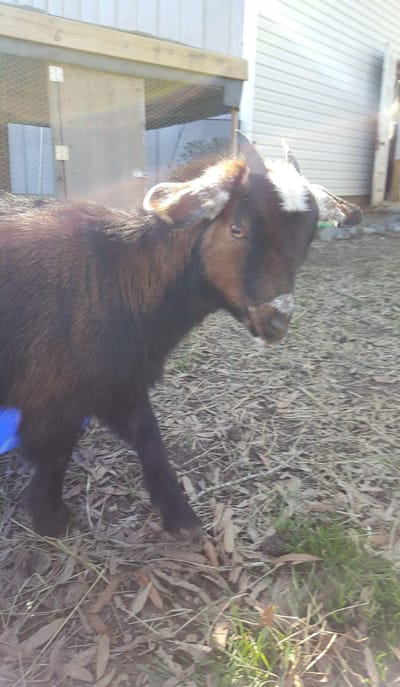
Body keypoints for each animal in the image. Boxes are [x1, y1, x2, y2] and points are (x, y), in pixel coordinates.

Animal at [0, 134, 339, 537]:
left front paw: (181, 517)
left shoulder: (118, 383)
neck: (117, 272)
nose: (276, 320)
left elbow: (149, 436)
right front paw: (50, 520)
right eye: (237, 228)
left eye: (307, 241)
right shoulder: (53, 398)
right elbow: (54, 454)